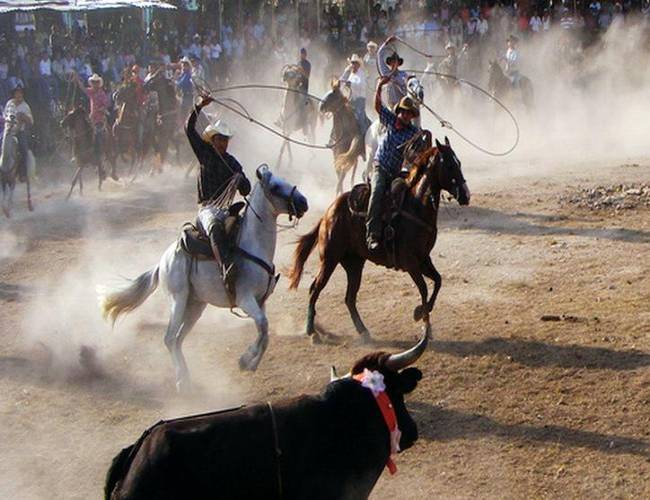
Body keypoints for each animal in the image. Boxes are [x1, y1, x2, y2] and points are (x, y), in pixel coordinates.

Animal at [97, 166, 308, 392]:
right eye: (275, 187)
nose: (304, 202)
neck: (253, 246)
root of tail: (163, 261)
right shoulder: (245, 300)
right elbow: (263, 325)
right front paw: (246, 359)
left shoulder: (261, 301)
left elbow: (264, 332)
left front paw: (248, 363)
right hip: (178, 300)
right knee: (169, 338)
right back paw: (181, 381)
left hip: (195, 306)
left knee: (178, 340)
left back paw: (186, 377)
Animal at [288, 135, 466, 344]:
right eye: (450, 166)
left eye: (459, 163)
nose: (465, 195)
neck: (416, 206)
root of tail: (328, 213)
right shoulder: (411, 263)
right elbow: (423, 288)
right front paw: (422, 319)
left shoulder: (424, 259)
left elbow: (438, 281)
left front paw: (422, 315)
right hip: (330, 259)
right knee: (315, 288)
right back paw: (312, 331)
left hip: (354, 263)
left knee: (349, 298)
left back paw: (363, 331)